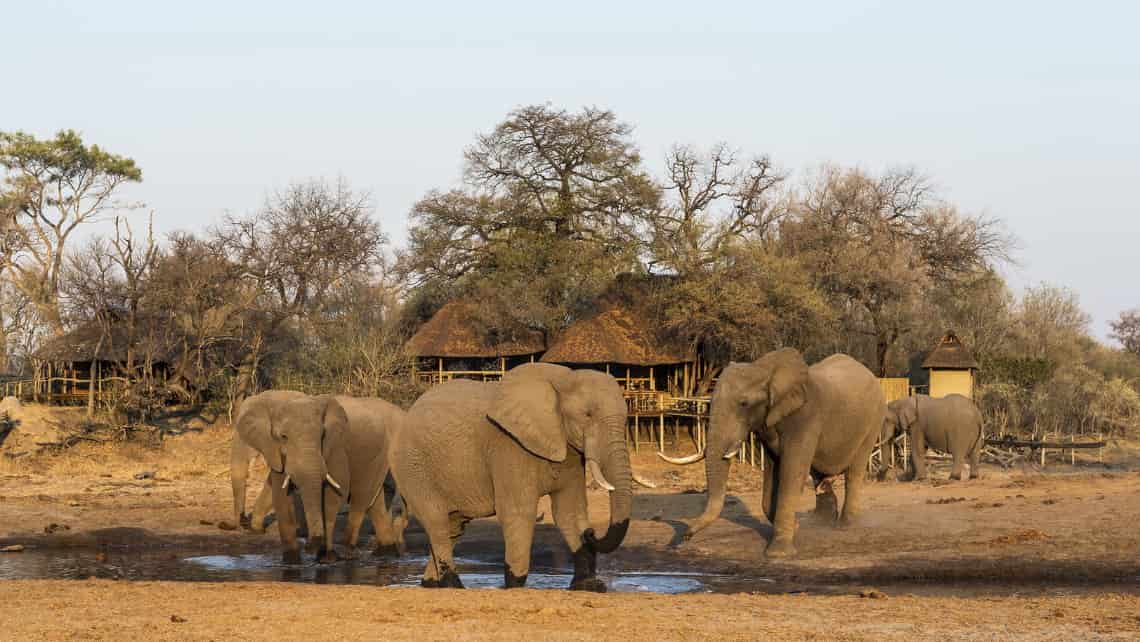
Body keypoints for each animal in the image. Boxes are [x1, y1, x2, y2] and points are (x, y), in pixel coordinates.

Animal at [233, 387, 408, 563]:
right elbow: (280, 495)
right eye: (283, 437)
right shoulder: (275, 450)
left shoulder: (336, 447)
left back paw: (348, 553)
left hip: (378, 454)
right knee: (375, 502)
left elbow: (334, 494)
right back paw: (386, 553)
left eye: (322, 435)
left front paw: (327, 558)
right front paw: (292, 562)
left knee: (361, 498)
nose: (242, 521)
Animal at [394, 362, 638, 592]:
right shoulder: (509, 445)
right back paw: (453, 585)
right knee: (437, 522)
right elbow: (519, 512)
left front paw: (590, 586)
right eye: (588, 415)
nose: (591, 532)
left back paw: (431, 584)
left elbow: (569, 511)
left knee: (454, 527)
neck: (563, 377)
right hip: (412, 468)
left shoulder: (568, 450)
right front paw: (514, 585)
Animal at [656, 348, 884, 561]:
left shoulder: (805, 418)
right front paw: (796, 527)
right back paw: (823, 523)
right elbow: (772, 474)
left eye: (744, 404)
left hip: (873, 421)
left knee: (854, 471)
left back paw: (845, 526)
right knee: (820, 474)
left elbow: (791, 473)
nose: (683, 539)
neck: (764, 370)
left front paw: (778, 554)